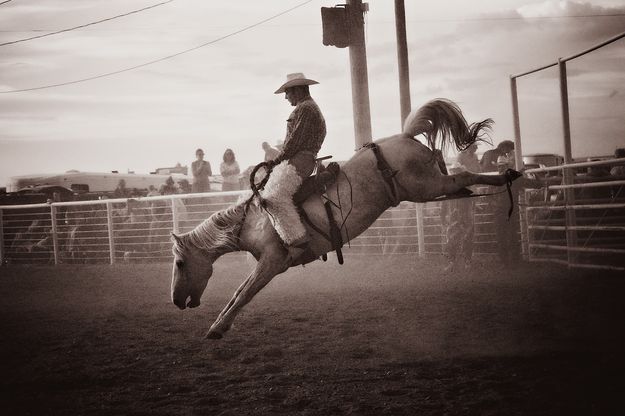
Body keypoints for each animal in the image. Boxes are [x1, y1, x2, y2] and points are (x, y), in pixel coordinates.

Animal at [171, 99, 520, 340]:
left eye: (180, 263)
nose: (175, 301)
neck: (254, 219)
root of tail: (405, 135)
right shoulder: (265, 263)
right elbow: (238, 291)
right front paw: (218, 325)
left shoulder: (273, 261)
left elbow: (243, 293)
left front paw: (217, 328)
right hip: (427, 188)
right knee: (461, 182)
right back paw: (505, 177)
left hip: (427, 185)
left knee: (464, 174)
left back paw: (506, 175)